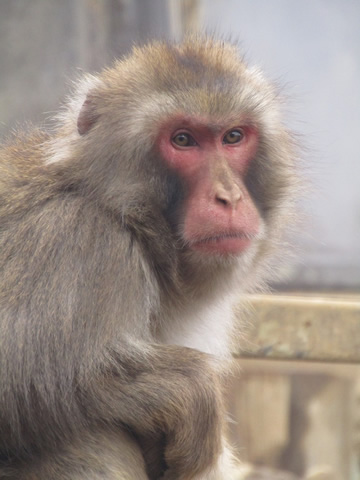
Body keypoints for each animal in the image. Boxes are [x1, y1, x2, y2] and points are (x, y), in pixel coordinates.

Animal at [0, 37, 296, 480]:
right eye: (183, 140)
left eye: (233, 136)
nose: (228, 197)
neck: (122, 216)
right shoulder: (78, 242)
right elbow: (19, 382)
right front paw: (188, 389)